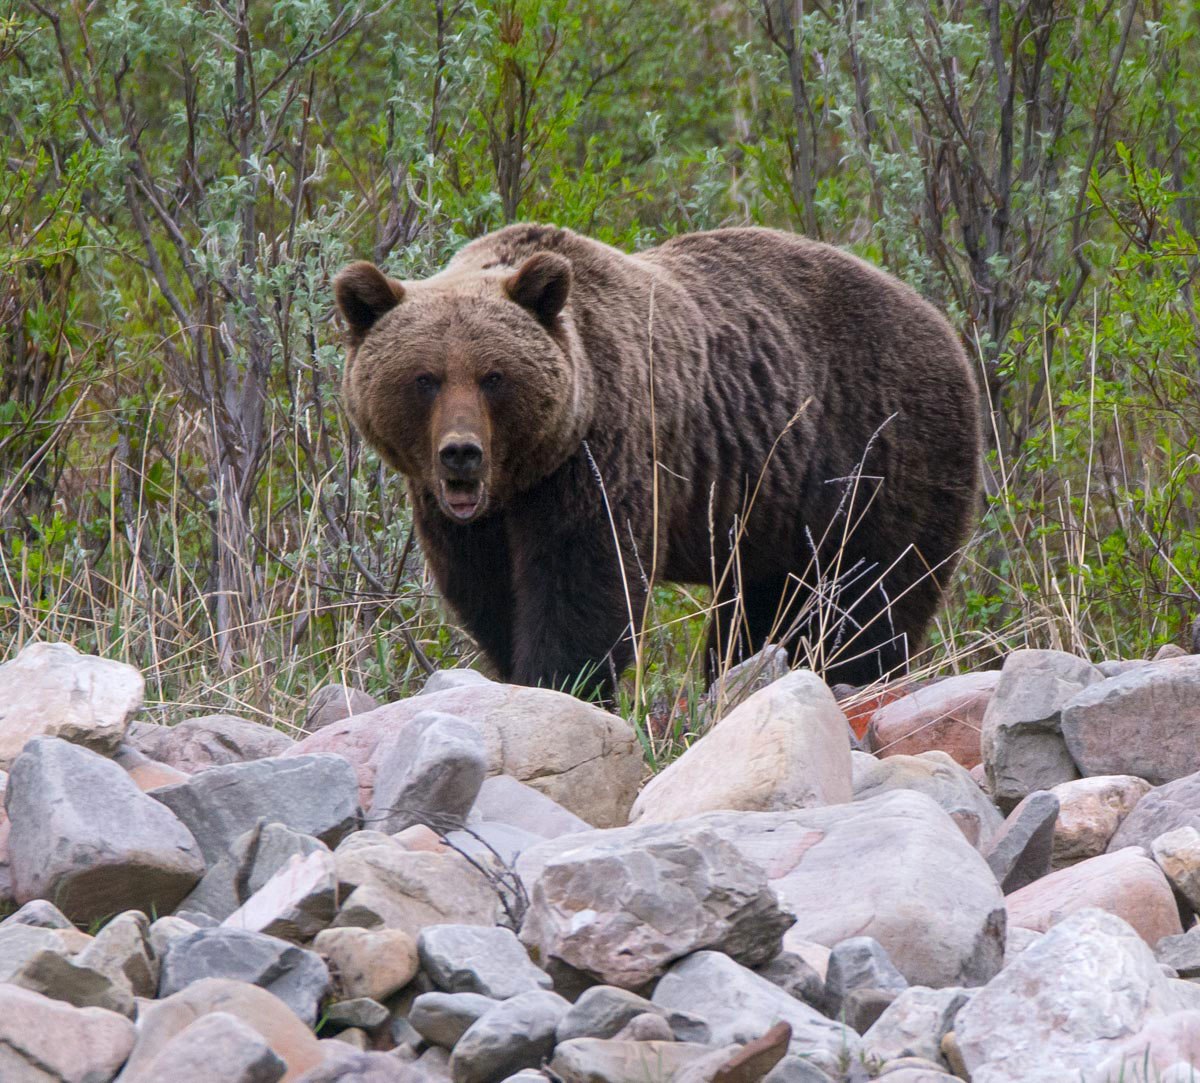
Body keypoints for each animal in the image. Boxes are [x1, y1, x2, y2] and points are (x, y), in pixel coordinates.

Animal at [333, 224, 979, 701]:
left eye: (494, 376)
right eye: (425, 378)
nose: (462, 452)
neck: (526, 475)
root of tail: (944, 323)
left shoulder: (602, 453)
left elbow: (588, 580)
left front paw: (564, 680)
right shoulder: (461, 512)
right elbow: (486, 588)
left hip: (879, 457)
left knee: (873, 591)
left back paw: (850, 673)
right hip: (777, 508)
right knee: (769, 603)